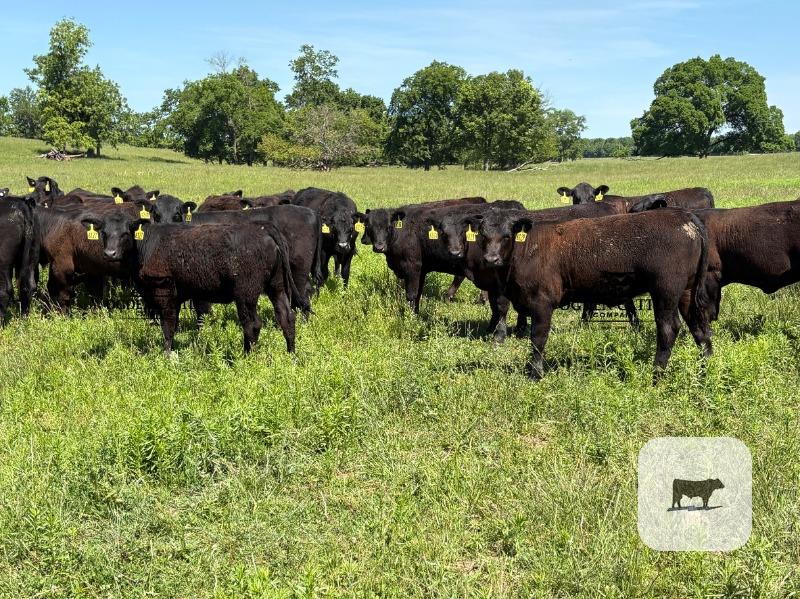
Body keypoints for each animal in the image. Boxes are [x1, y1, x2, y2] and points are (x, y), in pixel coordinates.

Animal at [81, 217, 302, 354]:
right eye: (103, 233)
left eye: (126, 233)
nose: (110, 253)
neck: (145, 246)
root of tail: (263, 228)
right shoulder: (179, 295)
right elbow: (174, 325)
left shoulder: (165, 291)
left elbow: (168, 325)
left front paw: (166, 356)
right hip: (277, 286)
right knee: (286, 317)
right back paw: (291, 355)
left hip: (246, 293)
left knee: (252, 324)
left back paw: (247, 357)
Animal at [472, 208, 713, 381]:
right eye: (483, 235)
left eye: (506, 236)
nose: (491, 259)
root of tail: (684, 215)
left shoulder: (542, 303)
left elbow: (538, 339)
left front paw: (535, 374)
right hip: (687, 291)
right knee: (698, 326)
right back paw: (706, 367)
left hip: (666, 290)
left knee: (668, 328)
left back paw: (657, 374)